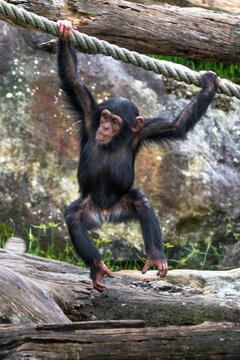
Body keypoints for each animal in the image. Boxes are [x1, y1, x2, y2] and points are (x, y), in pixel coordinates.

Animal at [56, 19, 221, 292]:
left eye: (115, 121)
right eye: (104, 117)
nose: (104, 127)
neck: (116, 139)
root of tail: (105, 213)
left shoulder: (143, 131)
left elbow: (176, 125)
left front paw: (208, 87)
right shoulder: (89, 113)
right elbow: (72, 78)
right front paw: (65, 31)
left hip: (124, 203)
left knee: (143, 204)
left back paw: (156, 256)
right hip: (88, 206)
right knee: (75, 219)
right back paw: (97, 266)